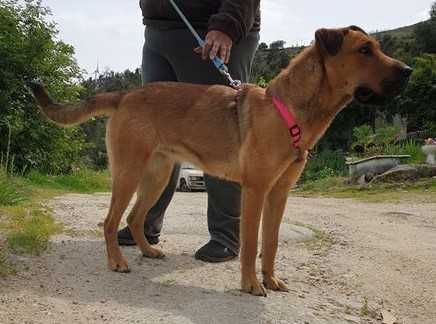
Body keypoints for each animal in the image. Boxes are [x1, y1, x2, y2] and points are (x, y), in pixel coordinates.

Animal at [29, 26, 410, 296]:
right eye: (364, 50)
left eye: (377, 48)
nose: (407, 71)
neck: (288, 109)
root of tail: (126, 95)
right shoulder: (255, 190)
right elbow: (252, 243)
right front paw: (251, 285)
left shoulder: (279, 195)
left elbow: (271, 243)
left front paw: (271, 280)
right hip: (128, 174)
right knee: (110, 221)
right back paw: (117, 262)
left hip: (157, 176)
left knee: (136, 218)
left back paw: (148, 252)